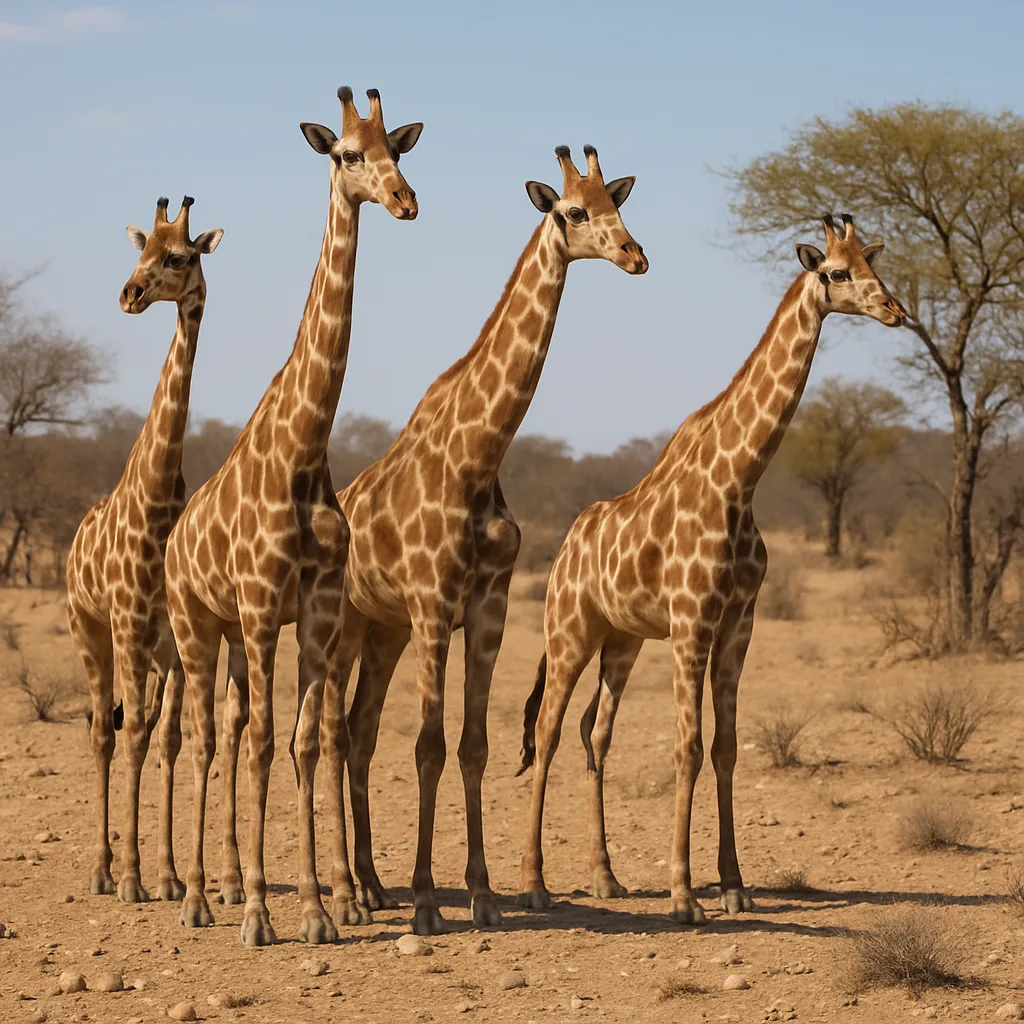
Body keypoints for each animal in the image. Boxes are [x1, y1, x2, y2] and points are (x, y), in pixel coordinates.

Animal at [164, 87, 422, 947]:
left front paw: (315, 910)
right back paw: (197, 898)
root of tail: (171, 541)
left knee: (237, 727)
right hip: (196, 624)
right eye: (346, 155)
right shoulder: (257, 602)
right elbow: (267, 745)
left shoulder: (311, 606)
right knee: (208, 737)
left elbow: (305, 742)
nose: (405, 201)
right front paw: (258, 916)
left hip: (237, 635)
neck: (306, 445)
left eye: (399, 150)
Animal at [308, 144, 648, 936]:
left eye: (620, 206)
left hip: (383, 631)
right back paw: (345, 893)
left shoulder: (486, 610)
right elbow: (429, 747)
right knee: (334, 733)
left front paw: (484, 894)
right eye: (573, 212)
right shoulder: (436, 606)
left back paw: (371, 885)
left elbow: (473, 746)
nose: (635, 255)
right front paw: (429, 902)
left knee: (361, 730)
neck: (480, 455)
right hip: (343, 627)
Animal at [517, 214, 906, 923]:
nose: (895, 309)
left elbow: (725, 747)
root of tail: (560, 556)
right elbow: (688, 746)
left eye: (874, 264)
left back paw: (605, 878)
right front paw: (683, 895)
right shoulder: (693, 621)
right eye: (838, 272)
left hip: (622, 642)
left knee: (595, 732)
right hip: (570, 633)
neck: (739, 480)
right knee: (551, 730)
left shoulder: (738, 623)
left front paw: (733, 885)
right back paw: (535, 885)